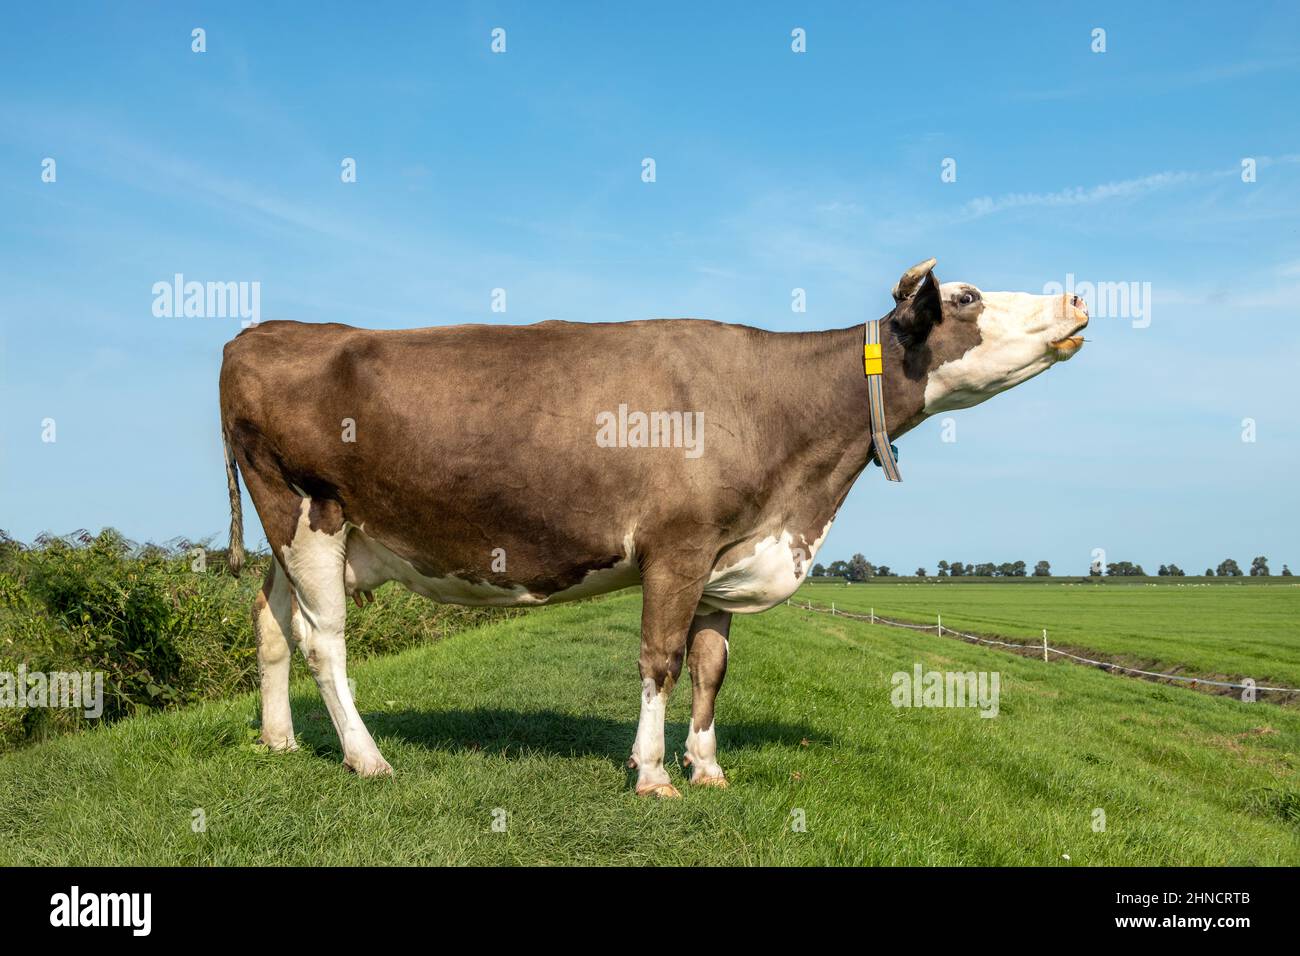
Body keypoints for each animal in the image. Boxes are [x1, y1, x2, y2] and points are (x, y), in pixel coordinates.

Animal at [220, 257, 1086, 796]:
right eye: (968, 298)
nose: (1077, 299)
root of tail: (259, 331)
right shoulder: (679, 544)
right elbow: (661, 659)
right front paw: (654, 773)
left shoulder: (726, 554)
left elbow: (710, 667)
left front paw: (707, 768)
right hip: (307, 513)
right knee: (324, 641)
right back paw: (367, 759)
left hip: (298, 535)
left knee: (270, 620)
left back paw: (279, 740)